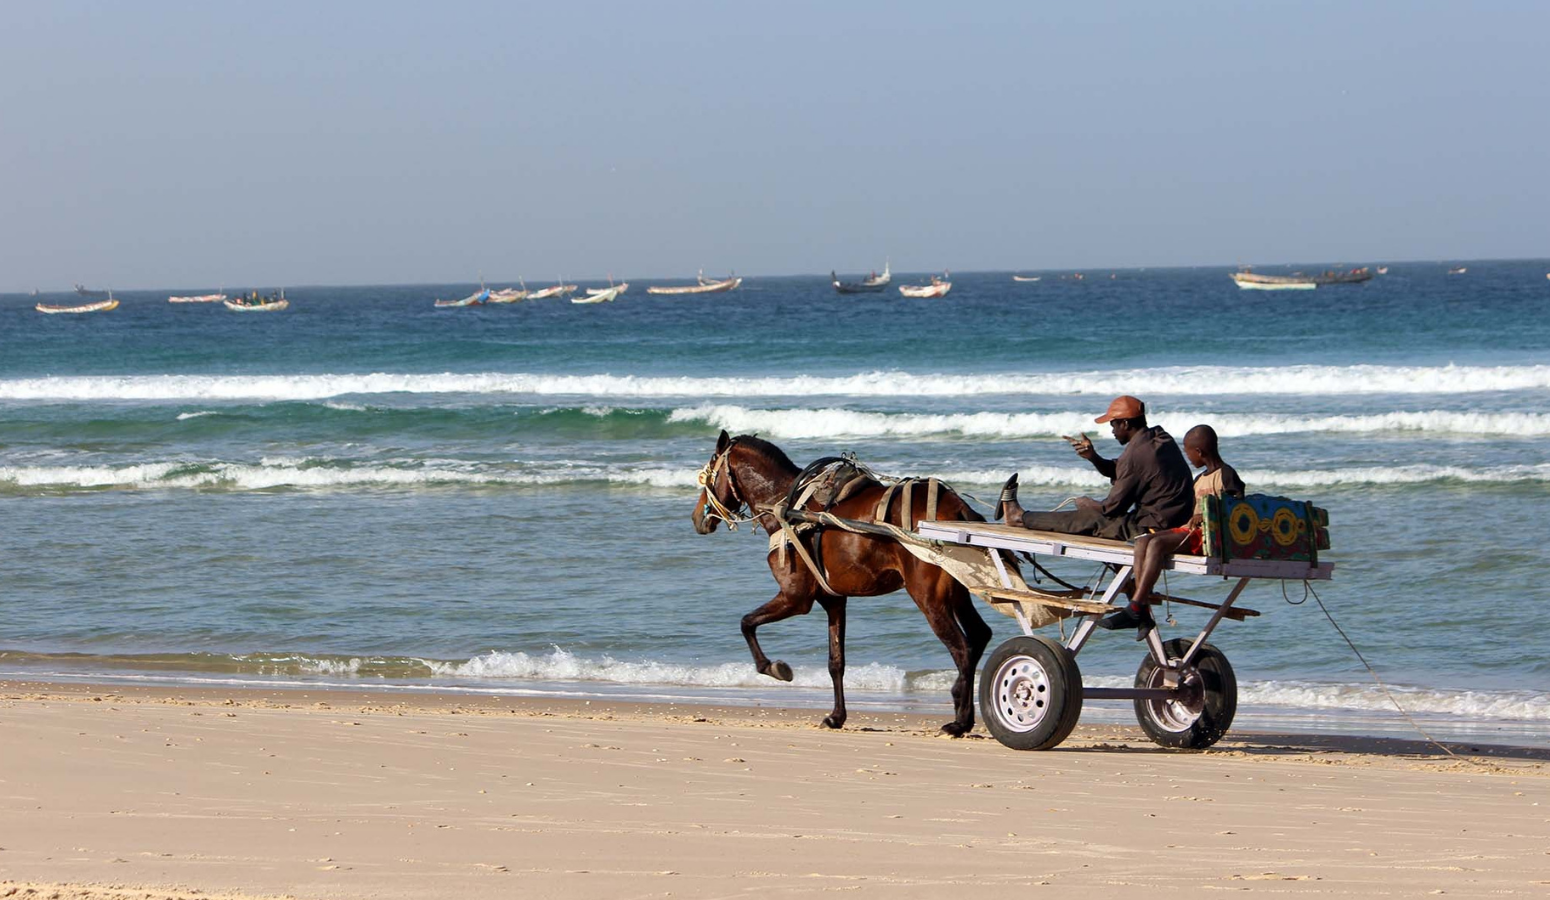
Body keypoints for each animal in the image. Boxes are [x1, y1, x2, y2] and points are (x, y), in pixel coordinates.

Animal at [691, 430, 992, 734]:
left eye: (708, 475)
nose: (696, 517)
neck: (788, 504)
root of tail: (959, 510)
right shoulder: (833, 600)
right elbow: (836, 662)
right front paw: (837, 715)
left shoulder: (795, 598)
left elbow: (747, 623)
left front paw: (773, 667)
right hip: (958, 592)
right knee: (979, 636)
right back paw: (961, 702)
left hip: (929, 599)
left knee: (962, 649)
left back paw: (961, 720)